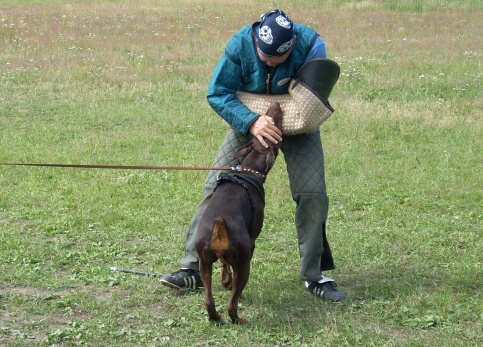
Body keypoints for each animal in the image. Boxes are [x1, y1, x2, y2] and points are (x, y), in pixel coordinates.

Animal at [194, 102, 284, 324]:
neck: (248, 171)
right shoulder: (252, 240)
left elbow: (224, 268)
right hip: (244, 262)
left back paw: (215, 317)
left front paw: (225, 280)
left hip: (204, 263)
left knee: (208, 300)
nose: (275, 104)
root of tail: (219, 224)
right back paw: (239, 316)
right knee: (232, 303)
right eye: (276, 127)